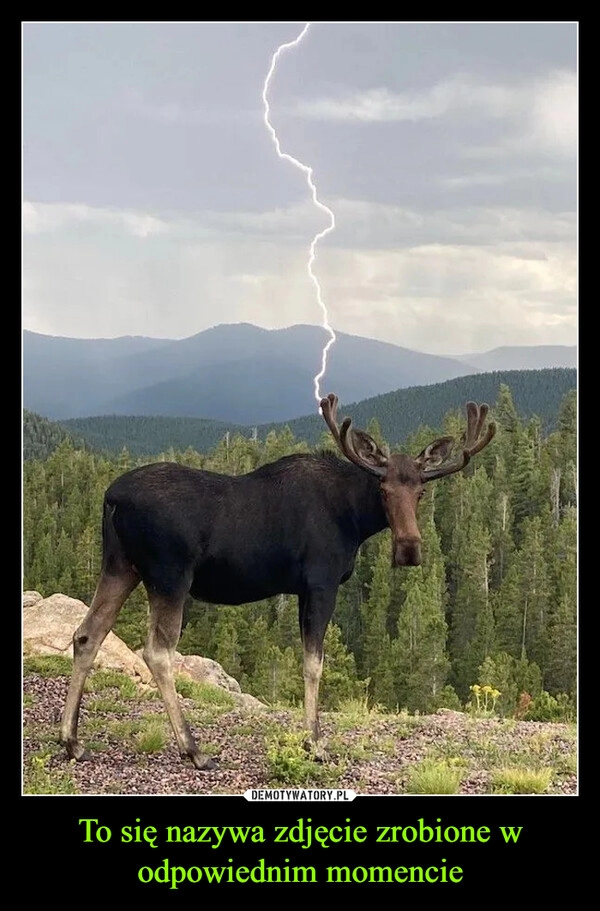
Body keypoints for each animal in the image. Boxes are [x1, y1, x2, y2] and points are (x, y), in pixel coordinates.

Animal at [61, 396, 494, 772]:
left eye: (421, 490)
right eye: (383, 489)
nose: (409, 548)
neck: (354, 519)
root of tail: (110, 497)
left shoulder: (302, 589)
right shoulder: (321, 582)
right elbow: (314, 665)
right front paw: (315, 743)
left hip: (120, 566)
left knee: (87, 634)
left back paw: (71, 740)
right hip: (169, 574)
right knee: (158, 651)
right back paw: (193, 749)